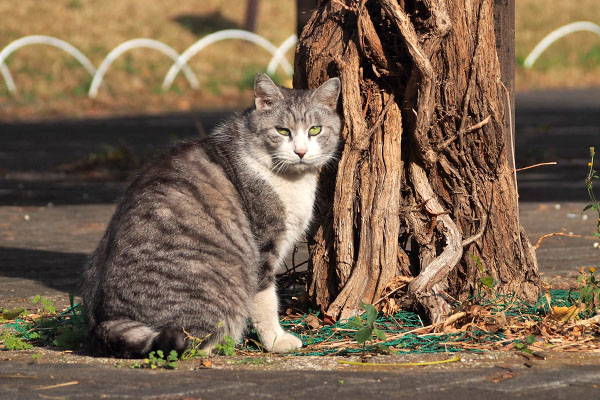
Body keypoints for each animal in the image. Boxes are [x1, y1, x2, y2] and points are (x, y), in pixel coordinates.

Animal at [81, 73, 340, 358]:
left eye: (314, 130)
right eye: (282, 131)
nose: (301, 152)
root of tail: (107, 320)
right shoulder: (264, 248)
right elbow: (266, 300)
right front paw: (276, 341)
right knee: (193, 343)